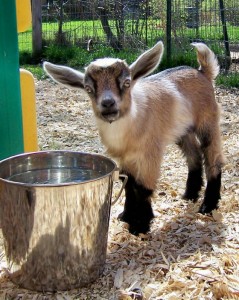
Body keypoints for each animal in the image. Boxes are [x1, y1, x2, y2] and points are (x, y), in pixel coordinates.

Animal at [44, 41, 225, 234]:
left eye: (127, 82)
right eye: (88, 89)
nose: (108, 103)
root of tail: (202, 72)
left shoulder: (150, 154)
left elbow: (143, 188)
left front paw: (140, 225)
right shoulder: (124, 158)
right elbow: (129, 186)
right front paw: (127, 216)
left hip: (207, 122)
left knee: (213, 158)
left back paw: (208, 206)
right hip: (183, 131)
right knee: (194, 155)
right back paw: (190, 194)